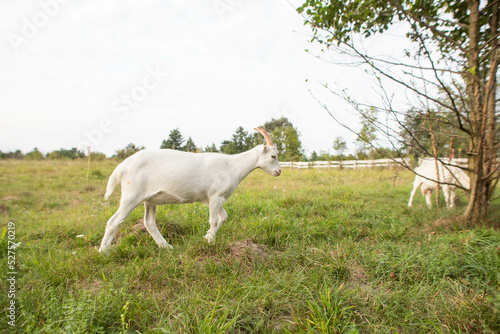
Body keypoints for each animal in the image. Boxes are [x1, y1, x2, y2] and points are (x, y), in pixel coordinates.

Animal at [97, 126, 278, 252]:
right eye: (273, 156)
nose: (279, 172)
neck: (232, 165)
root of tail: (122, 166)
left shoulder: (215, 199)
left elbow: (224, 217)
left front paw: (207, 236)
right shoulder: (215, 196)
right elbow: (214, 220)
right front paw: (210, 241)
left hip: (149, 200)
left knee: (149, 223)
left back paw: (166, 247)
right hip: (131, 195)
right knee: (113, 222)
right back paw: (103, 251)